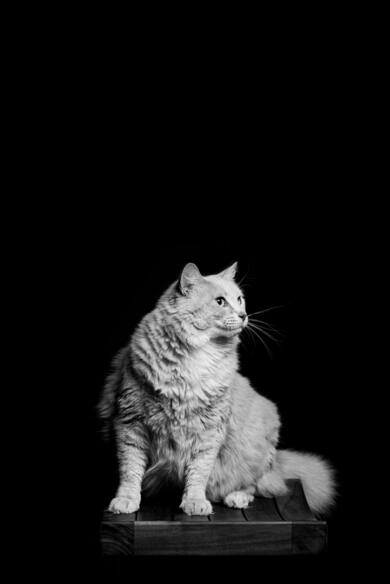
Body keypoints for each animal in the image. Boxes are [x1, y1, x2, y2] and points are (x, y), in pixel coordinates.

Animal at [97, 264, 336, 516]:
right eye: (220, 301)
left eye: (240, 299)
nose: (243, 315)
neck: (197, 354)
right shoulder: (130, 423)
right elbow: (130, 471)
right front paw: (126, 499)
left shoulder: (210, 431)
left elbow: (198, 473)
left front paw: (194, 502)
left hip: (256, 449)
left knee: (256, 484)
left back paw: (237, 497)